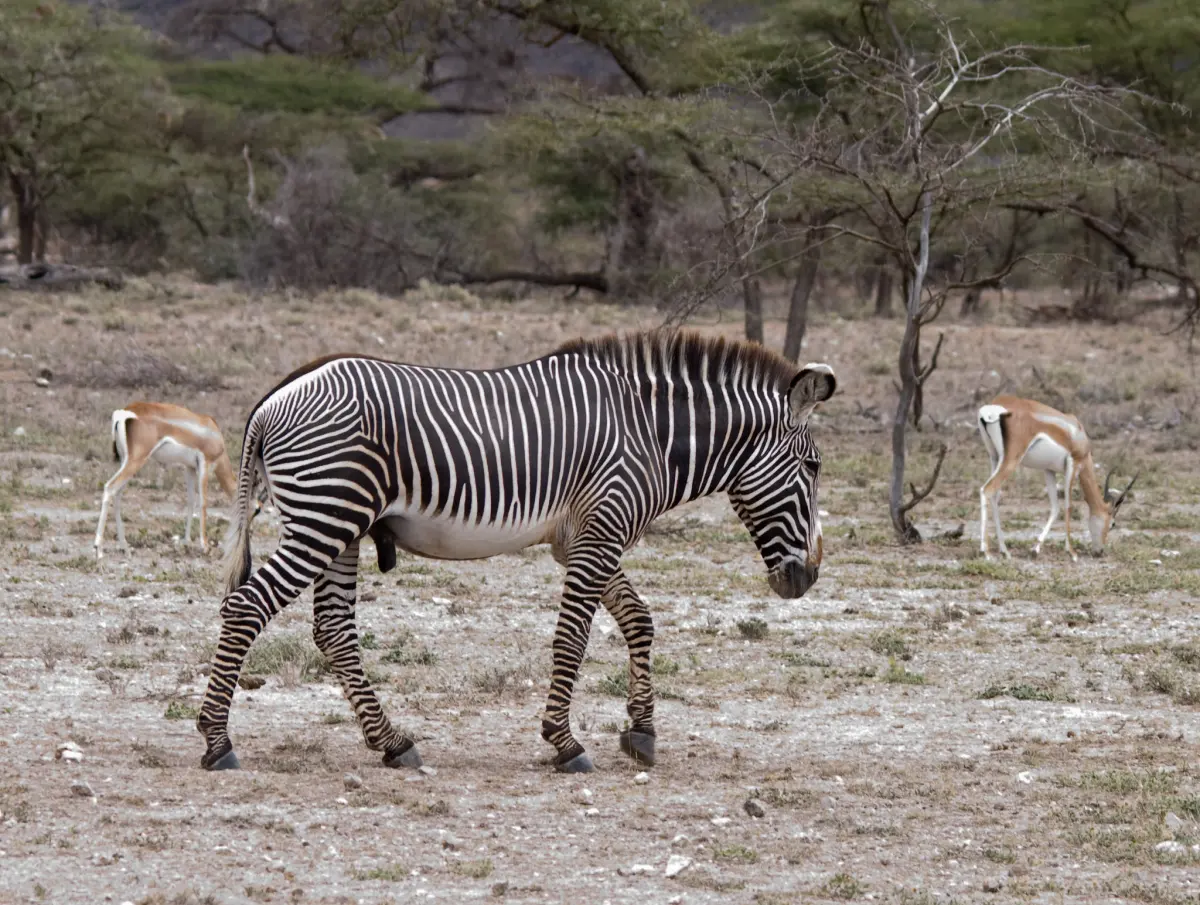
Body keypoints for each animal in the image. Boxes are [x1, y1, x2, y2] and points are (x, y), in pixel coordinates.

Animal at [197, 329, 837, 774]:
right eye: (812, 467)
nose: (806, 579)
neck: (651, 437)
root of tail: (276, 396)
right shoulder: (600, 531)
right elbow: (573, 638)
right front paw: (565, 743)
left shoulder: (580, 538)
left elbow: (638, 619)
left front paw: (642, 731)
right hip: (324, 517)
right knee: (247, 607)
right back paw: (217, 742)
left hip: (343, 528)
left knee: (332, 629)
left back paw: (392, 743)